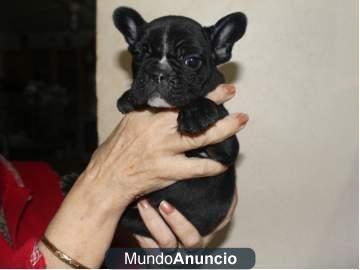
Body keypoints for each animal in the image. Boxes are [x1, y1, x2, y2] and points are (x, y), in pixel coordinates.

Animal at [114, 6, 246, 236]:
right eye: (139, 55)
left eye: (191, 61)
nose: (158, 72)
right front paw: (128, 98)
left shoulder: (227, 145)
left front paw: (196, 112)